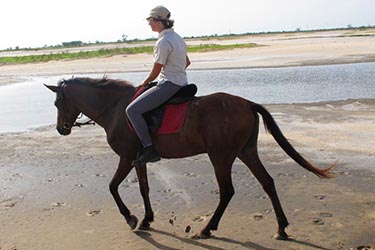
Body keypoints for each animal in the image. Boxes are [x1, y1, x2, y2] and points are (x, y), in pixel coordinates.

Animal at [45, 77, 336, 239]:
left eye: (58, 104)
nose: (61, 129)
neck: (117, 109)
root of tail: (246, 103)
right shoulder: (138, 160)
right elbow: (144, 188)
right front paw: (147, 219)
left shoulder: (126, 158)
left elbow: (112, 186)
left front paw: (130, 218)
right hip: (246, 152)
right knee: (268, 183)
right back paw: (281, 228)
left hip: (221, 157)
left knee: (227, 191)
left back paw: (207, 228)